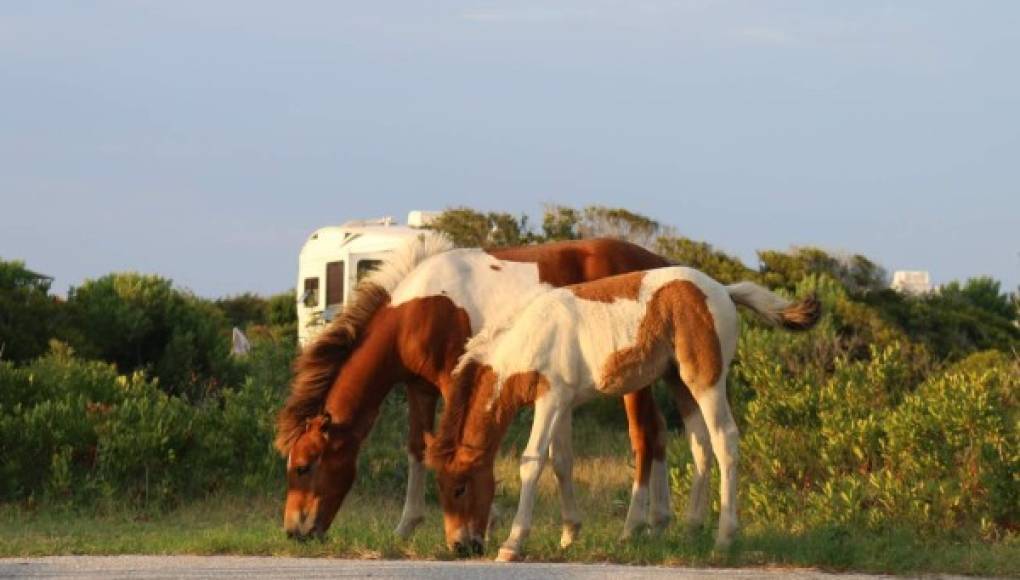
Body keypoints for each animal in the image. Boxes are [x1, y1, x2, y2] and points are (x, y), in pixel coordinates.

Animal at [275, 229, 701, 542]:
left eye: (303, 467)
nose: (295, 531)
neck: (417, 312)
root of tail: (661, 265)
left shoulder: (455, 381)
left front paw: (487, 520)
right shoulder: (420, 388)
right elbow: (418, 449)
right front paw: (406, 526)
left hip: (632, 381)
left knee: (643, 436)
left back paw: (633, 527)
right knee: (658, 433)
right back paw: (658, 523)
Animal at [424, 265, 820, 558]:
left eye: (460, 488)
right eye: (439, 487)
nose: (460, 546)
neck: (528, 336)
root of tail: (723, 289)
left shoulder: (550, 399)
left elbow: (532, 461)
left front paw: (512, 544)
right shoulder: (562, 403)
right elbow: (561, 461)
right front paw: (569, 535)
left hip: (705, 381)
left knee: (725, 440)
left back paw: (724, 537)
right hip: (678, 382)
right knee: (700, 445)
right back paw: (691, 529)